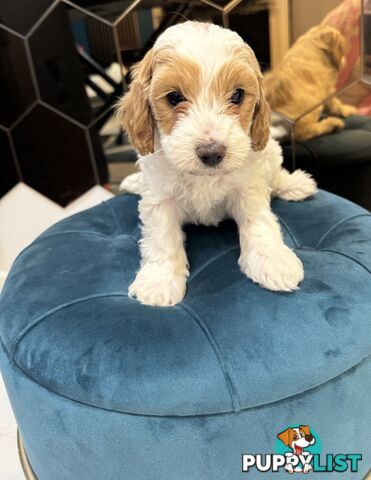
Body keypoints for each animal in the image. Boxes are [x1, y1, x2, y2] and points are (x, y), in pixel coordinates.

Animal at [118, 19, 316, 308]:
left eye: (237, 95)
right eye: (174, 97)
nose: (211, 152)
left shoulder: (248, 187)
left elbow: (259, 221)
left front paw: (272, 260)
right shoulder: (159, 196)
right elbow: (162, 236)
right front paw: (160, 281)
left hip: (270, 153)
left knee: (276, 175)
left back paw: (295, 185)